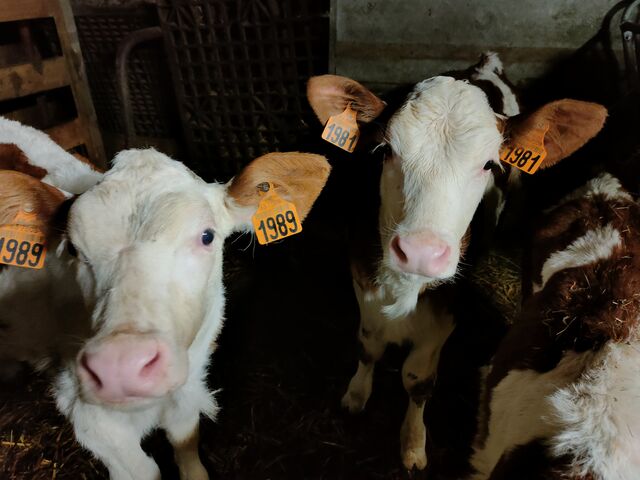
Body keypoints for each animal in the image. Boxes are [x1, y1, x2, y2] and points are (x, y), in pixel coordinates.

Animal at [1, 146, 330, 479]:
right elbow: (143, 470)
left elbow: (185, 444)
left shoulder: (189, 386)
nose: (121, 366)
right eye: (71, 249)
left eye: (207, 236)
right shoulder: (85, 411)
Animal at [306, 52, 608, 470]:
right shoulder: (362, 280)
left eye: (489, 165)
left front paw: (414, 442)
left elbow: (418, 379)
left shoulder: (448, 307)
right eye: (385, 151)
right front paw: (356, 393)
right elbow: (369, 345)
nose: (420, 251)